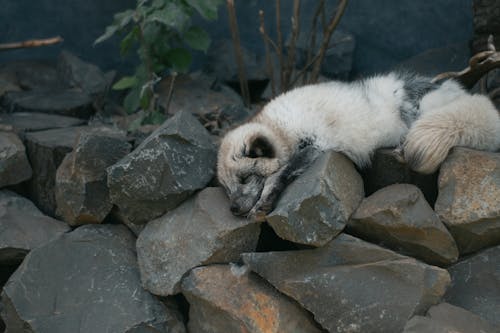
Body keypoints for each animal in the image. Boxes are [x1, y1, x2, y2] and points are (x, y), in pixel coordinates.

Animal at [216, 72, 500, 218]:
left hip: (425, 109)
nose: (232, 209)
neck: (281, 126)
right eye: (227, 189)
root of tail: (461, 92)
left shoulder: (315, 144)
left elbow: (279, 173)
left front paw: (265, 199)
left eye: (244, 179)